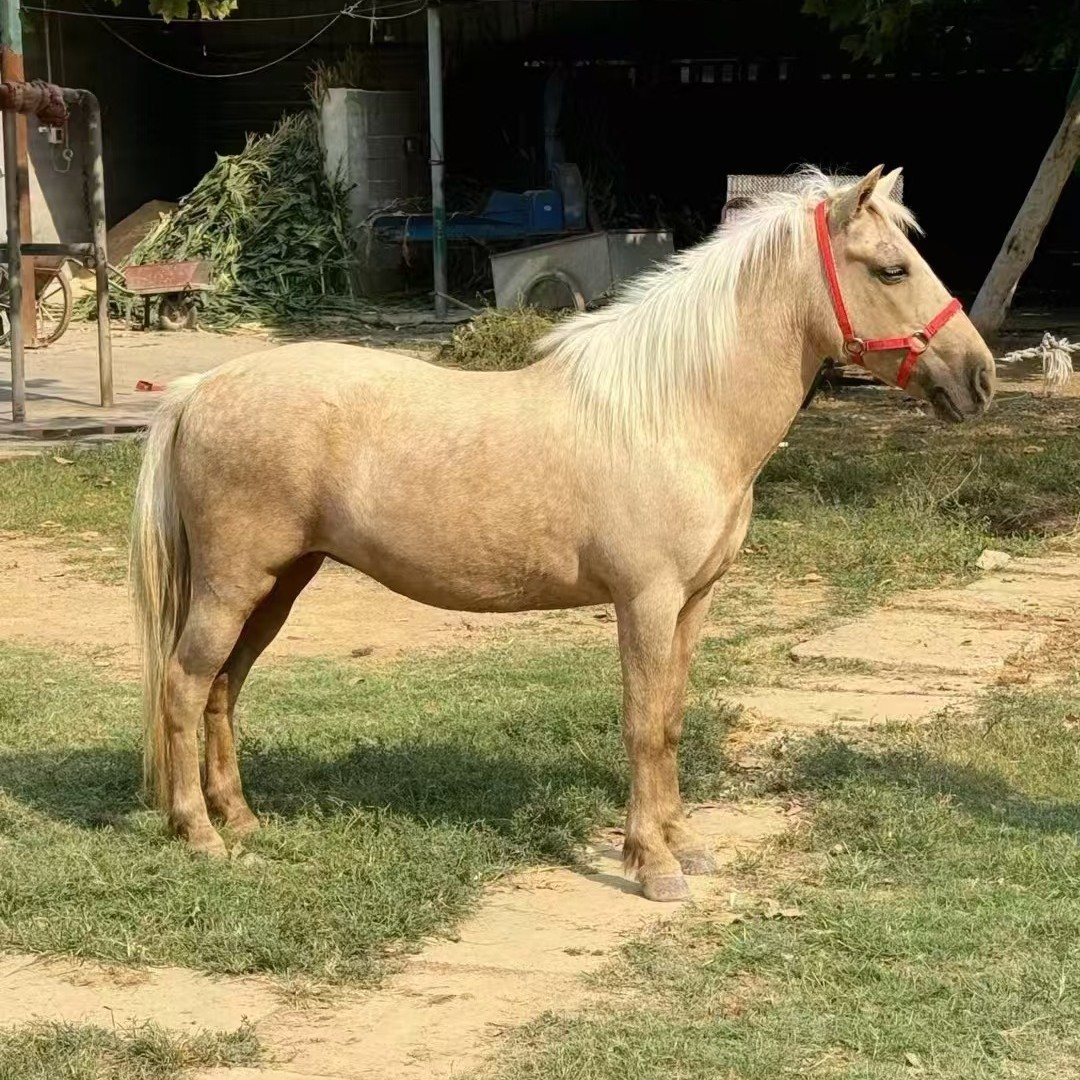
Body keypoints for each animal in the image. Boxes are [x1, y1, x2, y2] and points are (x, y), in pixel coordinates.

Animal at [130, 166, 995, 902]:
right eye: (891, 270)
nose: (979, 378)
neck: (676, 410)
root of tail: (201, 386)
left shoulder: (694, 603)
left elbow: (671, 719)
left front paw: (685, 843)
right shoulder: (645, 602)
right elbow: (642, 724)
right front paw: (653, 865)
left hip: (278, 584)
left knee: (223, 689)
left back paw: (241, 819)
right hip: (234, 585)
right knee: (184, 684)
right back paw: (201, 835)